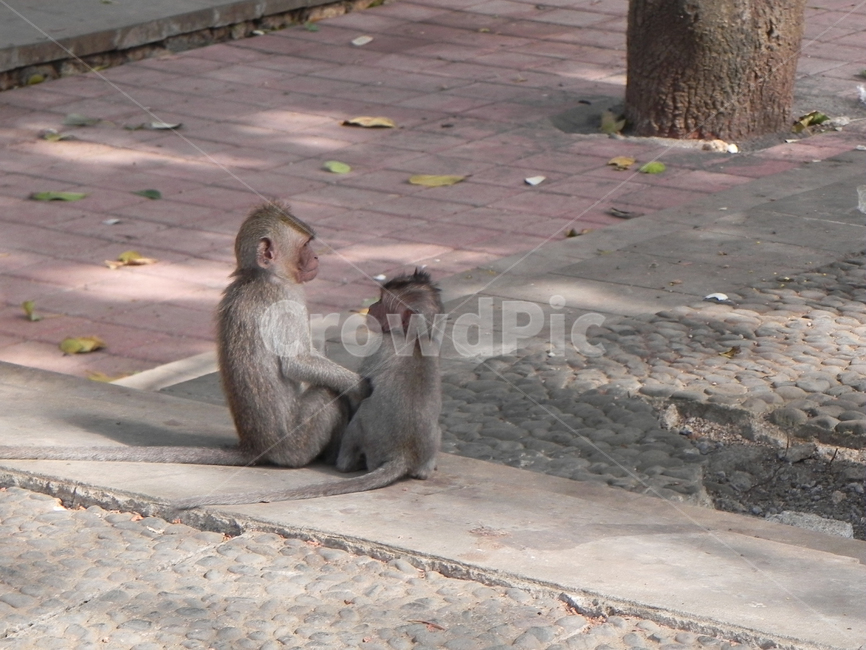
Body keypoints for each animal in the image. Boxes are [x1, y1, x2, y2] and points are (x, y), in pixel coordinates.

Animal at [0, 202, 368, 468]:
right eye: (306, 245)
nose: (317, 257)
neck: (260, 277)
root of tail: (254, 448)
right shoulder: (285, 300)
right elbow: (297, 362)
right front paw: (360, 385)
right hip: (295, 445)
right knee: (326, 395)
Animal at [172, 268, 445, 508]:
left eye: (383, 302)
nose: (371, 308)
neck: (415, 338)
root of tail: (403, 454)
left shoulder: (380, 347)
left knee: (341, 409)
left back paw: (342, 463)